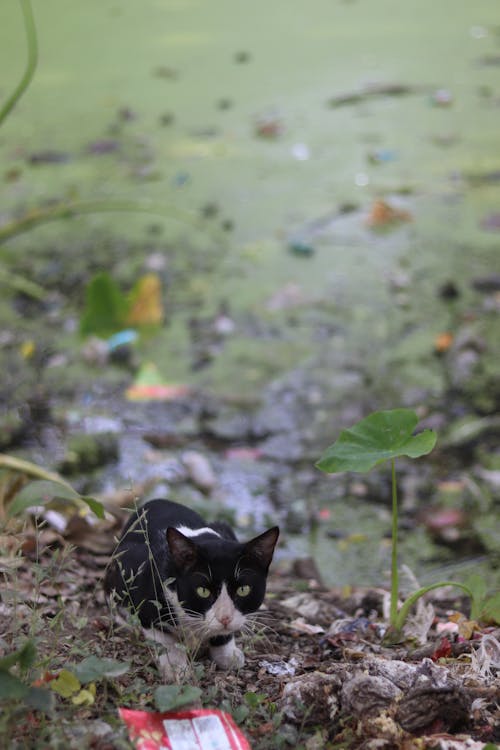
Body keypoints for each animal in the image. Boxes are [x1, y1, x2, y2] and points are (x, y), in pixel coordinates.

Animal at [103, 500, 280, 680]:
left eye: (243, 590)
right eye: (203, 591)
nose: (225, 618)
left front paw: (227, 655)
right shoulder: (138, 573)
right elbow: (160, 631)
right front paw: (175, 667)